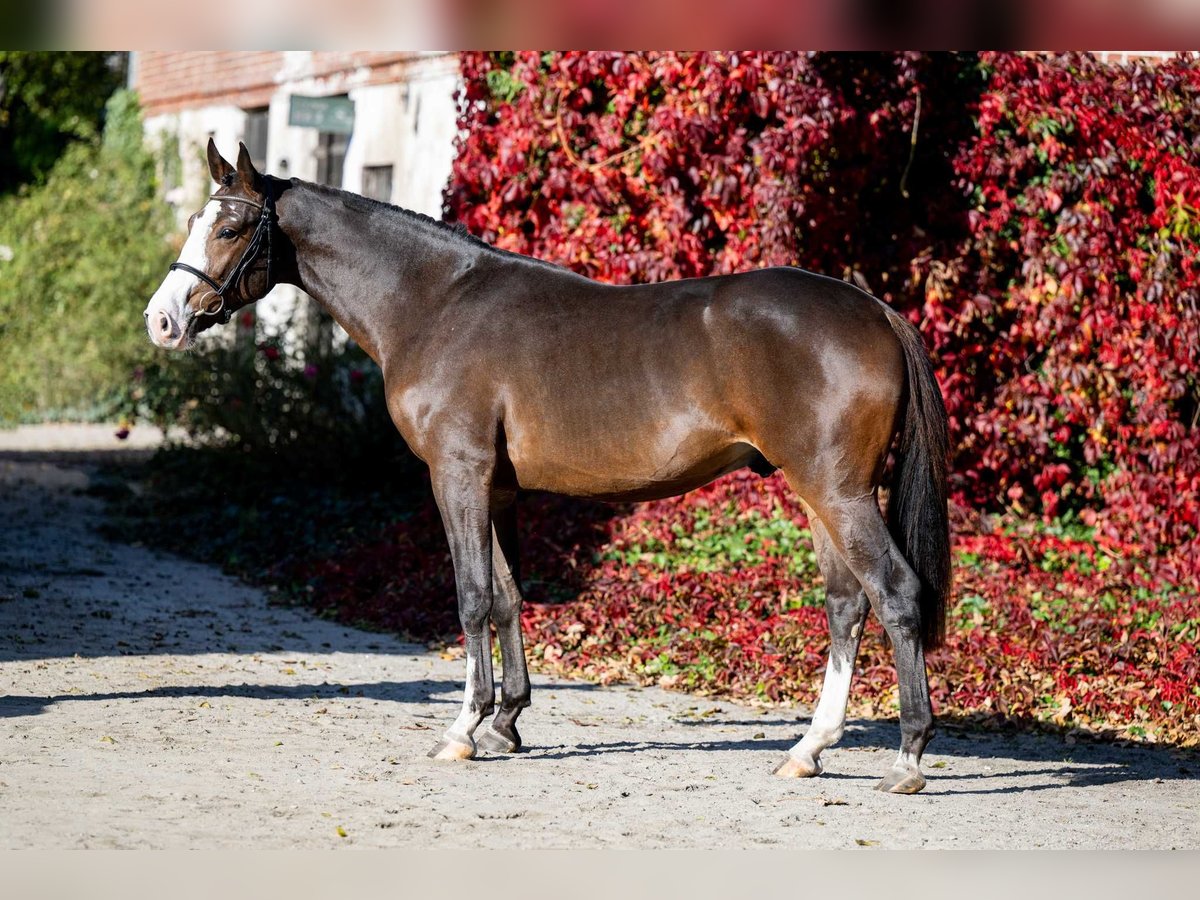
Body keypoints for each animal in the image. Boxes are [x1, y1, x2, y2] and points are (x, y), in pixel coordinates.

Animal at [142, 141, 945, 796]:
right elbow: (506, 597)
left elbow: (470, 599)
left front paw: (462, 731)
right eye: (195, 221)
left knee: (896, 593)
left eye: (230, 228)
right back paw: (809, 748)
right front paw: (507, 723)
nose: (163, 320)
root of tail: (873, 310)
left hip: (838, 492)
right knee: (847, 605)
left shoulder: (456, 476)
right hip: (818, 495)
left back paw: (908, 756)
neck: (434, 302)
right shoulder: (497, 489)